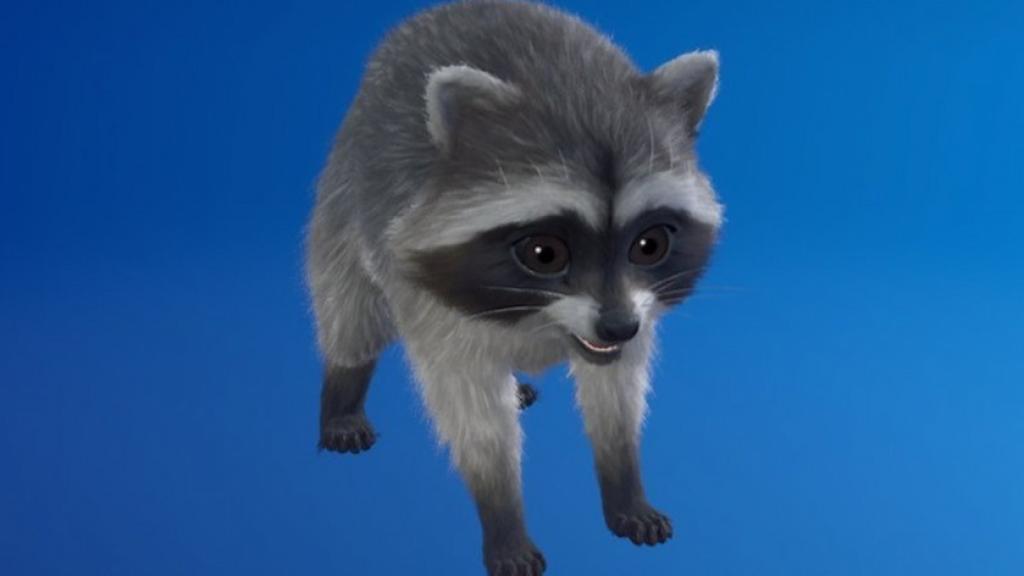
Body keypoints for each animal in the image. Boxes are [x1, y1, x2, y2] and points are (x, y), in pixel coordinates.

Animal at [306, 1, 722, 574]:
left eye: (650, 244)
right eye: (544, 253)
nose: (618, 326)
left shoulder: (633, 316)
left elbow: (617, 396)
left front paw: (624, 480)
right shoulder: (431, 298)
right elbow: (476, 419)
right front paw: (502, 514)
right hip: (346, 196)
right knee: (351, 312)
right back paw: (342, 391)